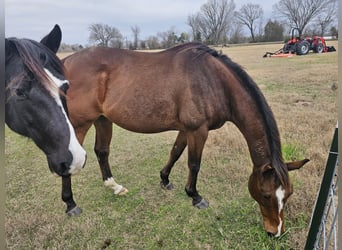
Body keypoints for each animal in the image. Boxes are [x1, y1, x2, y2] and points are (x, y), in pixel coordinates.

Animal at [62, 42, 310, 236]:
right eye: (266, 195)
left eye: (288, 194)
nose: (275, 232)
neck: (214, 81)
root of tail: (66, 62)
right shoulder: (198, 130)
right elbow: (194, 163)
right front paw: (195, 196)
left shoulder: (186, 129)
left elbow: (175, 151)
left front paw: (164, 179)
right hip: (80, 124)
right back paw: (71, 204)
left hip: (102, 119)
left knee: (102, 151)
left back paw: (114, 186)